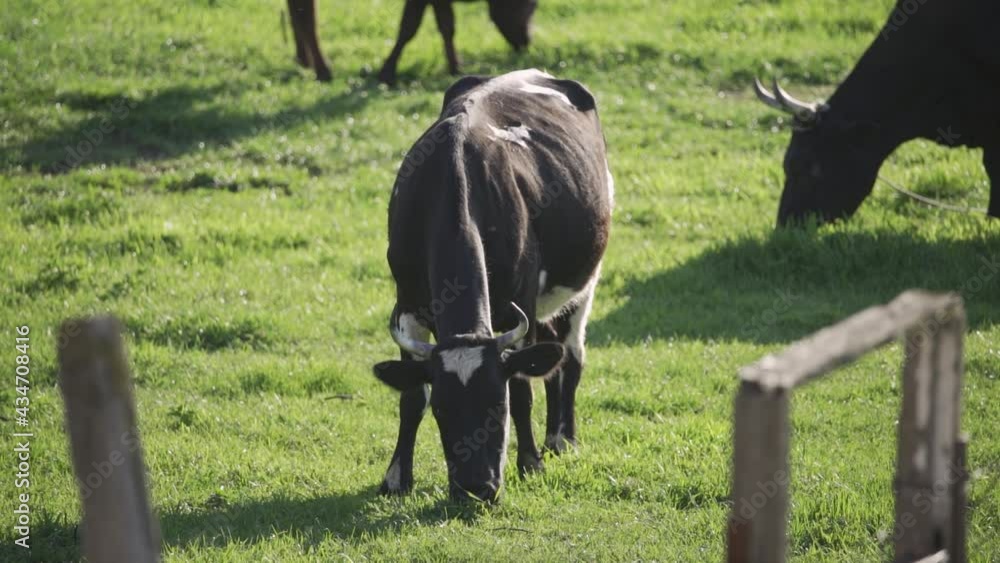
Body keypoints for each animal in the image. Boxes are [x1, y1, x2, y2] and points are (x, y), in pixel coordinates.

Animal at [372, 69, 612, 502]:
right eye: (443, 409)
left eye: (496, 406)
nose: (475, 487)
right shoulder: (407, 304)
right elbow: (411, 397)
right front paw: (397, 477)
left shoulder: (521, 303)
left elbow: (522, 388)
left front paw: (530, 462)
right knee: (553, 355)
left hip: (583, 282)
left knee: (569, 355)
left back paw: (560, 440)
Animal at [378, 0, 537, 85]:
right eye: (530, 5)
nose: (526, 42)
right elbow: (408, 28)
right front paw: (387, 73)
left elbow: (447, 27)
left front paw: (455, 67)